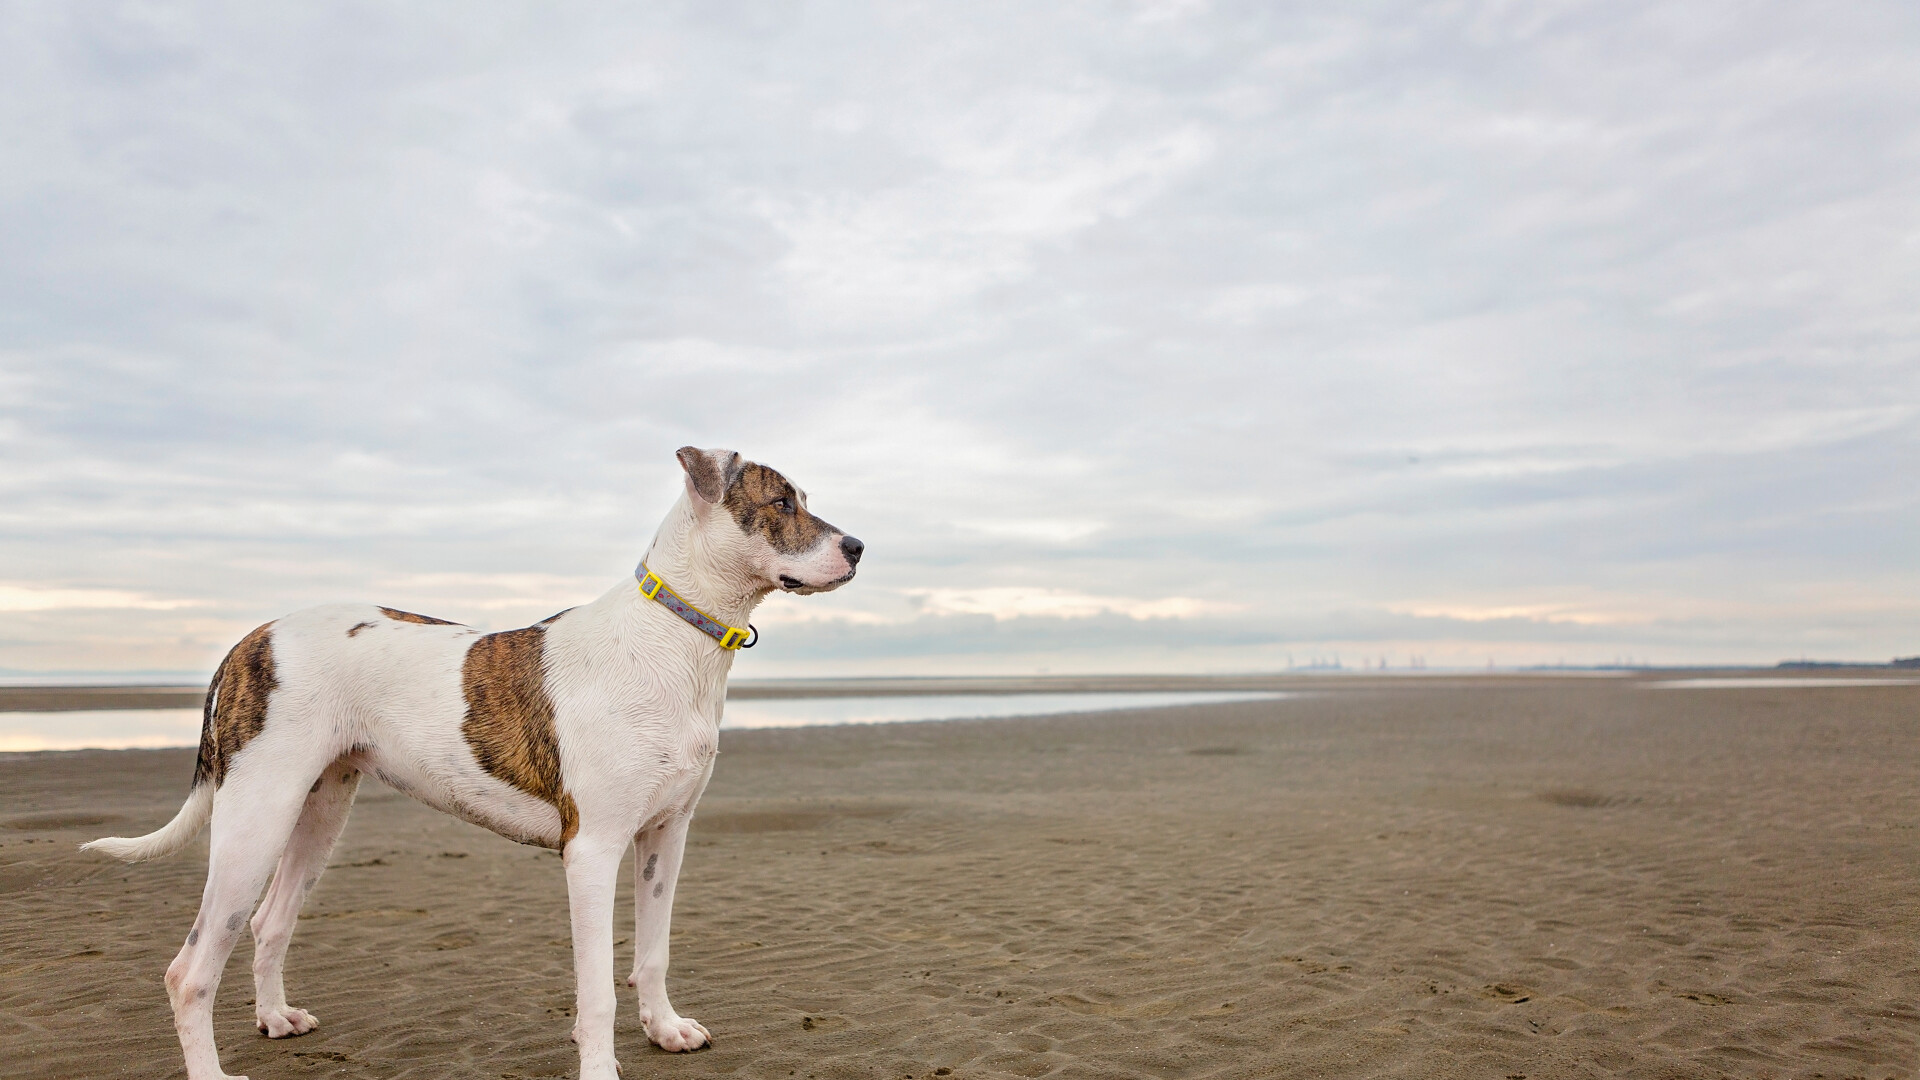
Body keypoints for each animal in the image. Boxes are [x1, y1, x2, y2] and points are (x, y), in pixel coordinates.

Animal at [84, 445, 864, 1076]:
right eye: (782, 503)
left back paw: (276, 1019)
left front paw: (666, 1030)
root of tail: (251, 638)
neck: (675, 636)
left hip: (319, 810)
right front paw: (601, 1067)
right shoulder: (592, 850)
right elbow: (597, 989)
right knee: (189, 971)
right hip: (256, 817)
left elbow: (653, 953)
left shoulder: (665, 837)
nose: (858, 546)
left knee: (270, 922)